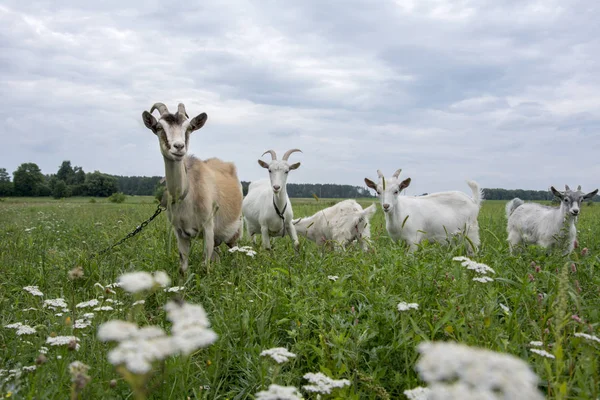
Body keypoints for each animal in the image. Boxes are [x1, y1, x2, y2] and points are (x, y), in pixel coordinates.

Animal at [142, 101, 243, 274]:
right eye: (159, 127)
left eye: (188, 127)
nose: (178, 147)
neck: (187, 193)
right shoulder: (179, 232)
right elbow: (183, 267)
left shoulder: (208, 228)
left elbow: (204, 267)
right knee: (217, 254)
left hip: (234, 230)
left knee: (234, 249)